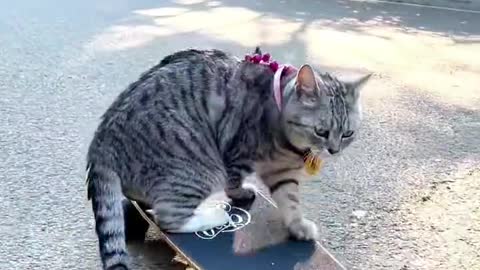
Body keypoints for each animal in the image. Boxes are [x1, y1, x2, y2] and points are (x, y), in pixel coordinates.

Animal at [85, 47, 372, 268]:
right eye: (321, 132)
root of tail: (100, 142)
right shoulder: (237, 153)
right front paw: (240, 193)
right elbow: (234, 181)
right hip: (199, 167)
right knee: (168, 218)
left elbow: (290, 199)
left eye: (347, 133)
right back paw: (215, 217)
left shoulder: (282, 171)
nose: (334, 149)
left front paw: (297, 225)